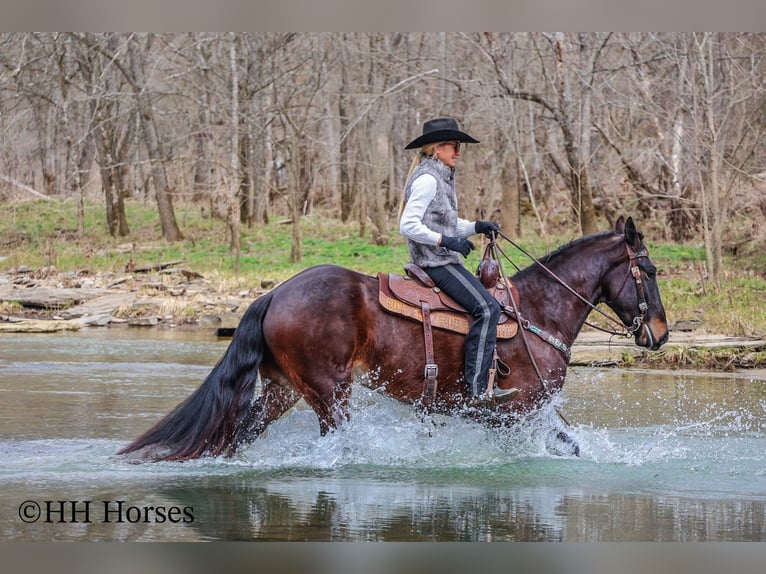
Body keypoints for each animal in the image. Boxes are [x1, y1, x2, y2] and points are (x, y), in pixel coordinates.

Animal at [117, 216, 668, 464]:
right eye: (650, 271)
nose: (660, 334)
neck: (537, 311)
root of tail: (274, 294)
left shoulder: (515, 418)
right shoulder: (519, 412)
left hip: (283, 390)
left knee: (238, 432)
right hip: (329, 391)